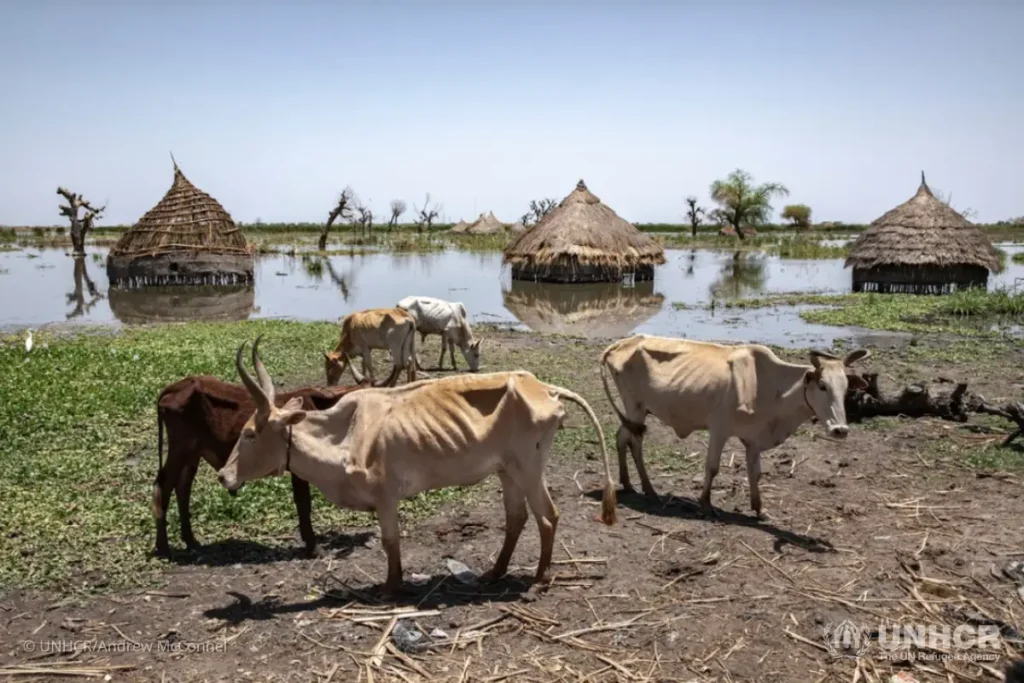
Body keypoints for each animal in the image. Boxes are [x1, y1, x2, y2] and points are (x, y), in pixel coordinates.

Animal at [153, 375, 373, 558]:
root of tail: (179, 385)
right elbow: (304, 504)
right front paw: (314, 547)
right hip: (181, 449)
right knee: (162, 486)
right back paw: (163, 548)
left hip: (192, 455)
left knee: (182, 488)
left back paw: (191, 541)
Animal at [218, 336, 617, 595]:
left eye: (250, 433)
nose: (224, 475)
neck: (344, 435)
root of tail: (544, 388)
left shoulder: (385, 496)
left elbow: (390, 541)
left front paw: (391, 587)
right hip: (508, 470)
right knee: (516, 518)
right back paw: (494, 573)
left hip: (529, 468)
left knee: (547, 516)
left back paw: (538, 579)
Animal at [599, 335, 870, 518]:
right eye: (822, 385)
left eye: (846, 388)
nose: (840, 430)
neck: (767, 385)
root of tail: (624, 342)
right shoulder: (720, 428)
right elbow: (712, 467)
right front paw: (705, 504)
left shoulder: (753, 439)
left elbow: (755, 472)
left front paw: (759, 509)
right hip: (635, 407)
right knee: (635, 442)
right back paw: (649, 489)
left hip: (635, 412)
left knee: (622, 437)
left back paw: (629, 483)